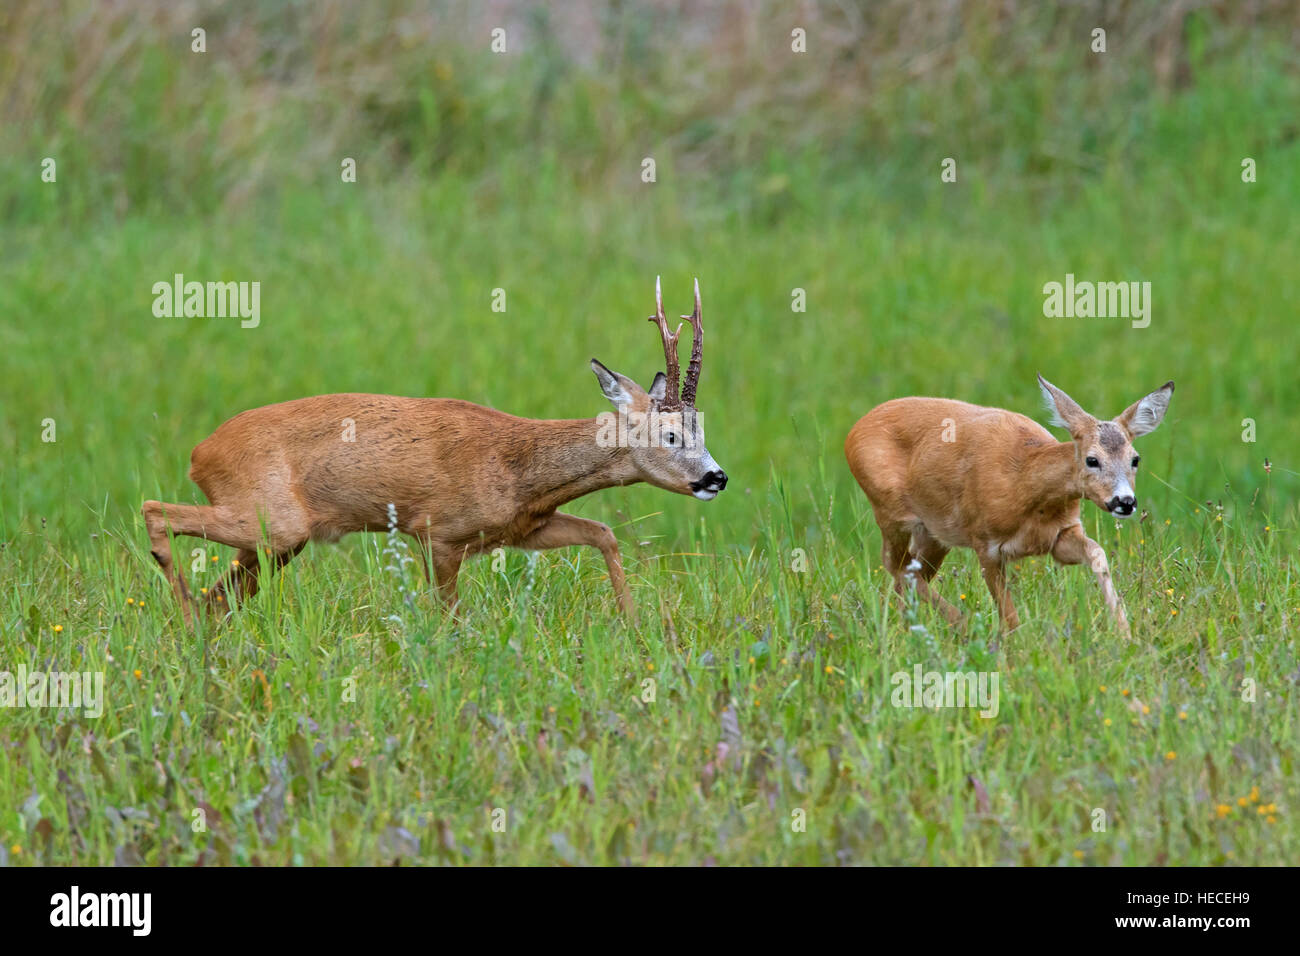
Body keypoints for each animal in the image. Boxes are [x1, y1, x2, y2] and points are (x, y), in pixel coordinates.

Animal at [142, 278, 727, 625]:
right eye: (671, 436)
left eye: (703, 429)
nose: (716, 478)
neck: (519, 471)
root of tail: (200, 453)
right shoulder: (438, 533)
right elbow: (451, 617)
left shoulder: (522, 529)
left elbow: (603, 533)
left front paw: (634, 624)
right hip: (273, 516)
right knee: (155, 512)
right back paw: (181, 610)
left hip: (277, 538)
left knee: (220, 594)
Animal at [845, 375, 1174, 639]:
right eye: (1092, 460)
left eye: (1135, 459)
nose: (1125, 502)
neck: (1026, 488)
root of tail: (853, 430)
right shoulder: (985, 543)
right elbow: (1009, 614)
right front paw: (1016, 648)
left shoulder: (1059, 535)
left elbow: (1097, 553)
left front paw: (1124, 633)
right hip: (891, 511)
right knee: (898, 567)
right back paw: (960, 626)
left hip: (935, 532)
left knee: (910, 572)